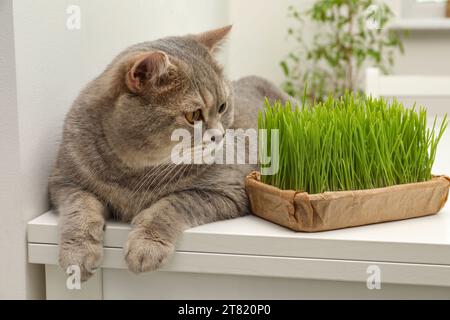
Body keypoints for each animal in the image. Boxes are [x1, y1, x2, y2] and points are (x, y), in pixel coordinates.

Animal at [49, 25, 292, 280]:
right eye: (194, 115)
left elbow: (172, 204)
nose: (220, 136)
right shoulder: (64, 180)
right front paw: (77, 253)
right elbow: (79, 208)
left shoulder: (228, 189)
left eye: (223, 107)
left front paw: (146, 245)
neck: (131, 173)